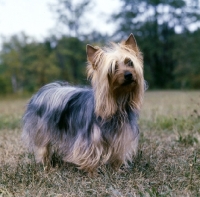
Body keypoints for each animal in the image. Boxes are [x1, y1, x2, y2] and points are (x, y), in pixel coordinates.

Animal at [21, 33, 146, 174]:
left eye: (130, 63)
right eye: (113, 68)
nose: (129, 74)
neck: (118, 100)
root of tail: (43, 91)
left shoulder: (121, 136)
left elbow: (117, 154)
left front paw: (116, 170)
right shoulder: (90, 138)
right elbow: (90, 155)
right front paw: (92, 173)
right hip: (41, 130)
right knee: (43, 148)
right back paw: (47, 166)